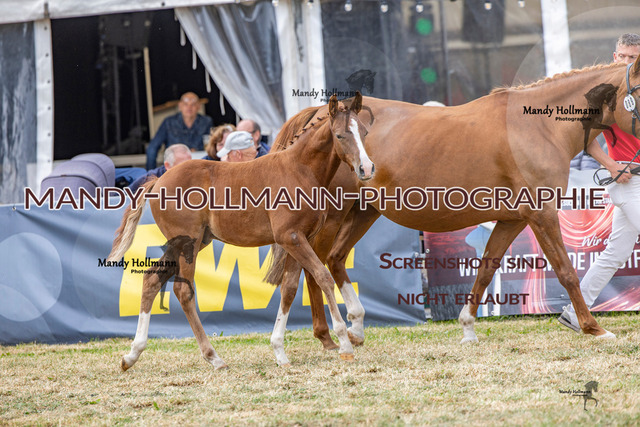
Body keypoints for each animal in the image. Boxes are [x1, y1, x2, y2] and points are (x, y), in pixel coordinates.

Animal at [107, 93, 375, 370]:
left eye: (364, 132)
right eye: (340, 135)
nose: (367, 169)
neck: (299, 170)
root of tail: (158, 180)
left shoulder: (299, 239)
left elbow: (289, 288)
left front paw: (279, 352)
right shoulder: (290, 238)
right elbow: (323, 276)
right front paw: (344, 343)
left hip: (188, 243)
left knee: (151, 279)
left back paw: (132, 354)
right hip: (187, 244)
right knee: (183, 291)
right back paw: (213, 357)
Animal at [267, 59, 640, 348]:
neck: (536, 127)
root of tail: (320, 114)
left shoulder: (513, 220)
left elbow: (486, 269)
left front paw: (468, 327)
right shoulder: (542, 214)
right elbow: (566, 271)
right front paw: (593, 327)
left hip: (364, 211)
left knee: (333, 258)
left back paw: (355, 327)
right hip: (333, 214)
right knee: (313, 265)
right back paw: (327, 335)